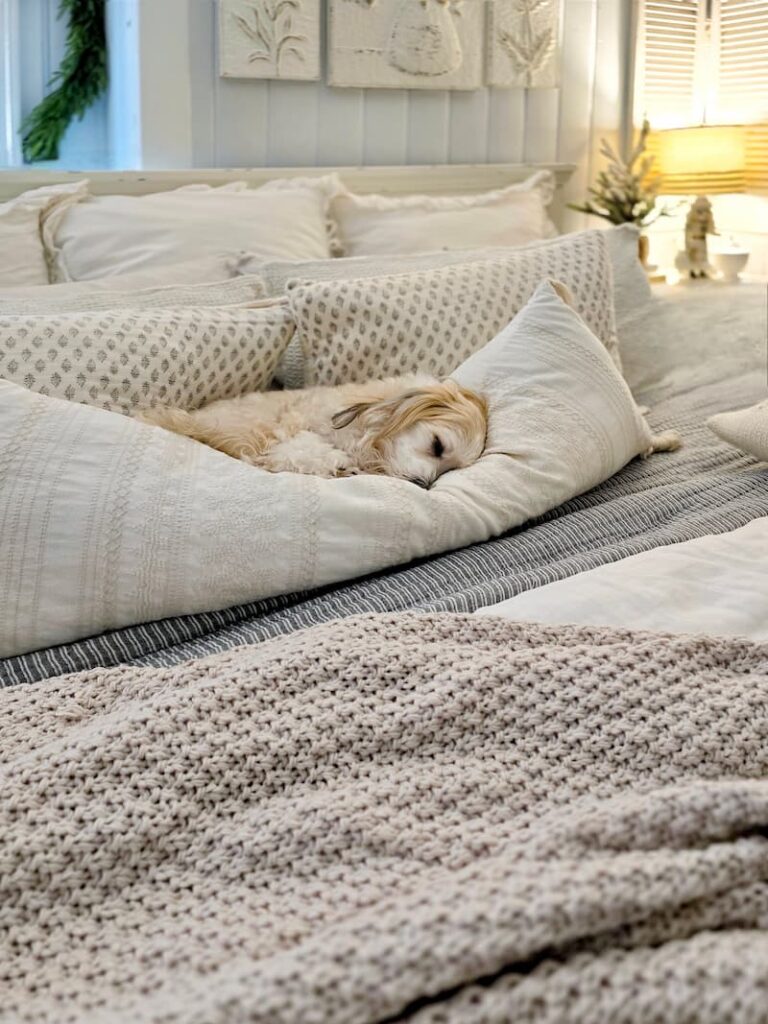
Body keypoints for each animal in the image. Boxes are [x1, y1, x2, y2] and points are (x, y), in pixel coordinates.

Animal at [138, 376, 487, 487]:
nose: (424, 485)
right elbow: (309, 453)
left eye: (449, 470)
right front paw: (340, 464)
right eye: (437, 446)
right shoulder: (287, 441)